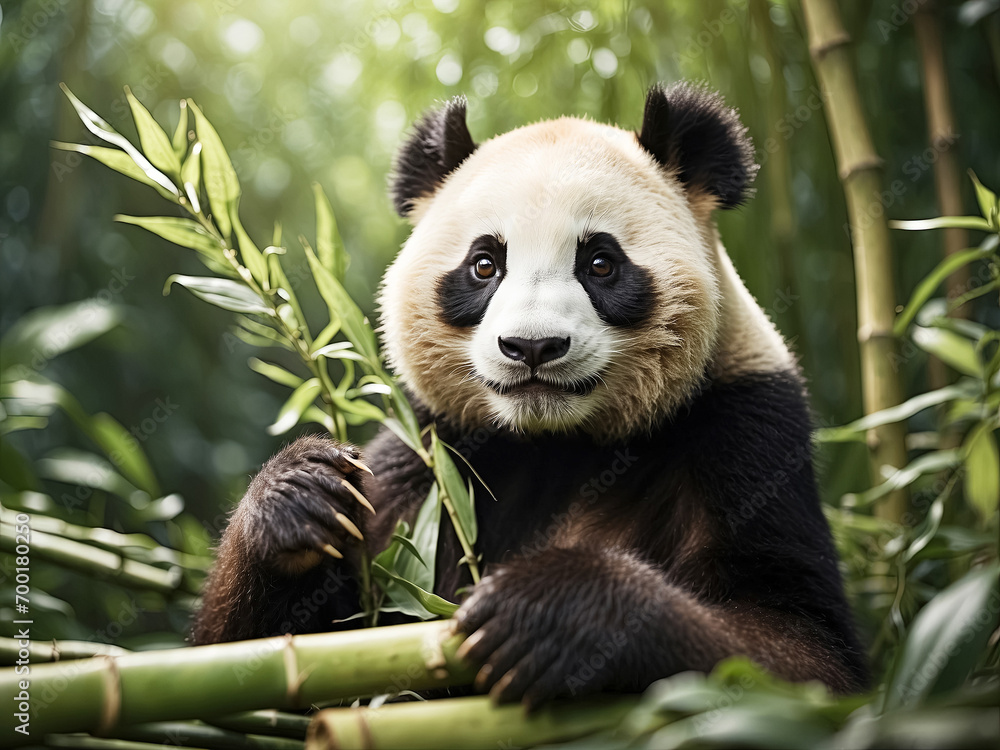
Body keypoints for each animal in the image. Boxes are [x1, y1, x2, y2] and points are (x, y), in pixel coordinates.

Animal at [192, 82, 869, 707]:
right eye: (485, 264)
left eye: (600, 263)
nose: (534, 346)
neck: (553, 440)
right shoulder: (427, 459)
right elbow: (249, 666)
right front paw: (301, 495)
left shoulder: (744, 429)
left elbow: (802, 648)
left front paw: (549, 609)